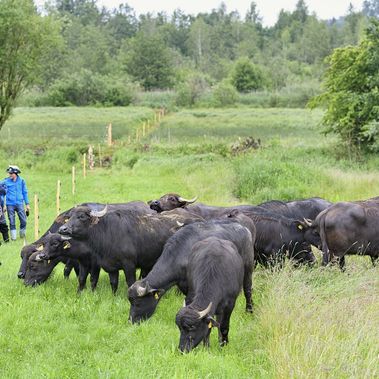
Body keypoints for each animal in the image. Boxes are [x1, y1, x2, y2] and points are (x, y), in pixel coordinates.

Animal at [58, 205, 202, 294]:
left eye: (82, 217)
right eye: (69, 217)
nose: (63, 229)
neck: (107, 232)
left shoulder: (129, 264)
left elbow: (130, 282)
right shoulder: (111, 266)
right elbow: (113, 283)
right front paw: (114, 296)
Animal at [127, 218, 255, 326]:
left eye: (138, 303)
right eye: (130, 301)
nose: (131, 321)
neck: (180, 253)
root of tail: (244, 229)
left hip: (248, 268)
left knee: (248, 289)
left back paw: (249, 311)